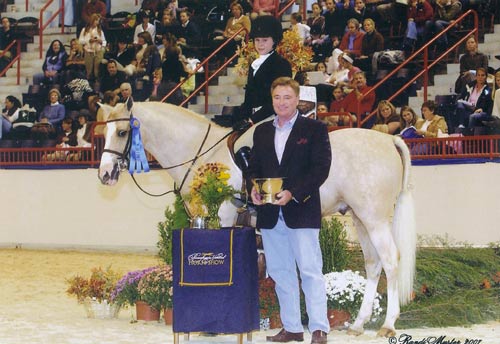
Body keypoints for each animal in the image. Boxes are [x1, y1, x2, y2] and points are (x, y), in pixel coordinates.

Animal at [98, 99, 418, 338]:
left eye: (123, 132)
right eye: (104, 133)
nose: (105, 174)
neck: (203, 155)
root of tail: (389, 139)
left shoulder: (224, 218)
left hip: (374, 219)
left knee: (390, 261)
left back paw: (388, 325)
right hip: (360, 219)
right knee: (373, 264)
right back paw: (359, 324)